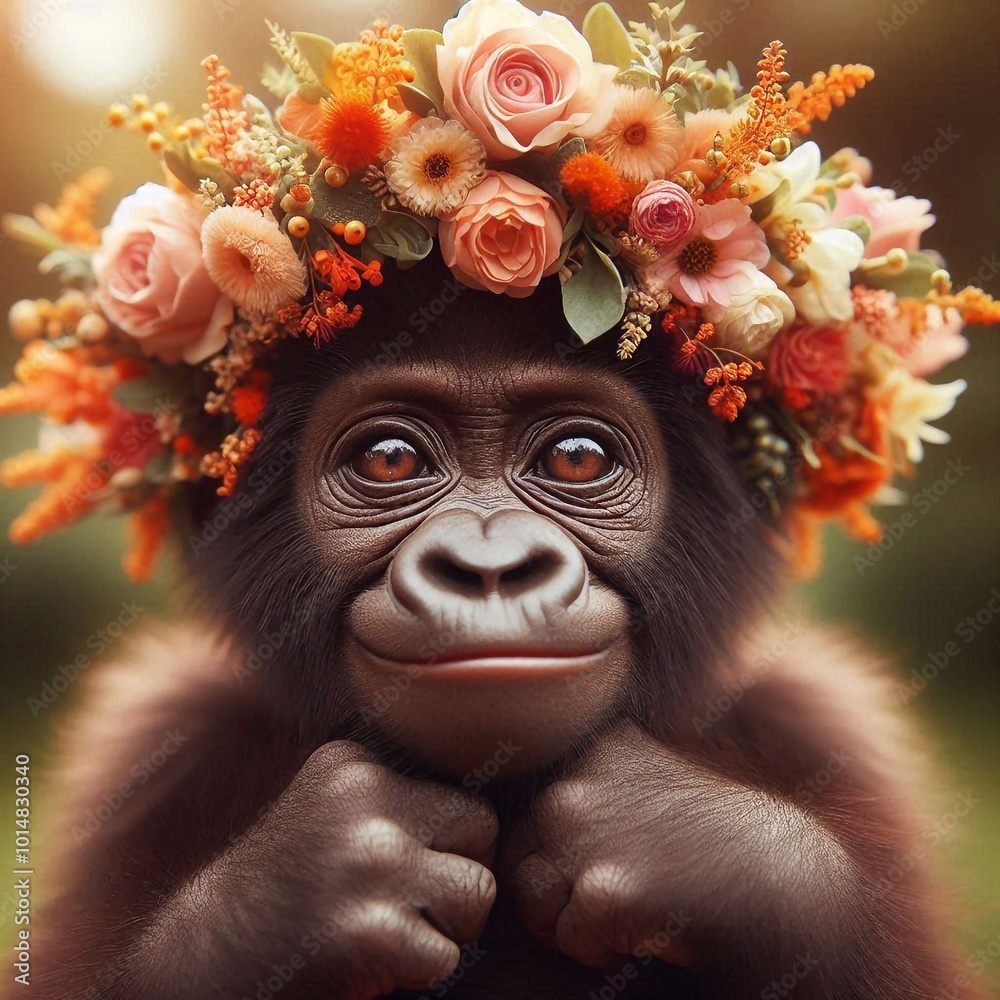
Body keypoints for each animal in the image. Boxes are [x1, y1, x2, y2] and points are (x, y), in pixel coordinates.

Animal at [12, 255, 978, 1000]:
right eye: (389, 459)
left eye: (577, 459)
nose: (488, 567)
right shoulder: (157, 741)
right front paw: (303, 882)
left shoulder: (821, 721)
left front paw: (710, 849)